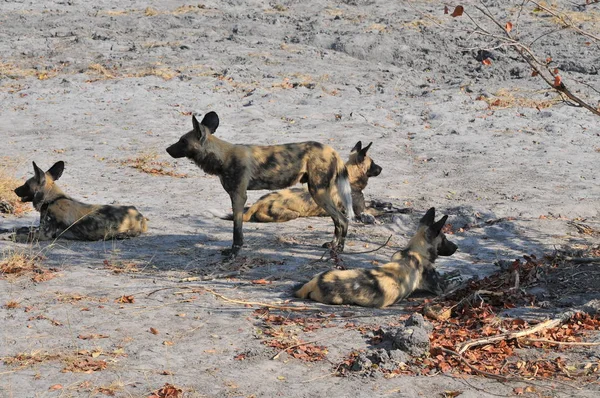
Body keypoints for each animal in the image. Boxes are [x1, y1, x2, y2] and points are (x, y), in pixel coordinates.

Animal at [9, 160, 148, 241]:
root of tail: (140, 215)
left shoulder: (45, 234)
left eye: (26, 185)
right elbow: (23, 228)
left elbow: (24, 235)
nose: (14, 190)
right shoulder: (39, 228)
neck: (52, 200)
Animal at [166, 110, 354, 258]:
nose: (167, 149)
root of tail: (331, 150)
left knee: (343, 220)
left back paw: (339, 249)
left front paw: (233, 253)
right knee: (338, 221)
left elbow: (237, 230)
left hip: (318, 192)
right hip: (322, 193)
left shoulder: (238, 196)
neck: (221, 156)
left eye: (182, 141)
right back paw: (332, 245)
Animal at [221, 141, 384, 222]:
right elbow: (381, 212)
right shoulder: (361, 210)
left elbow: (380, 205)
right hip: (292, 214)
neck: (351, 178)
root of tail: (259, 202)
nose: (382, 168)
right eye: (373, 163)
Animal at [292, 207, 458, 310]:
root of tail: (317, 282)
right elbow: (453, 280)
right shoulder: (440, 288)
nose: (456, 247)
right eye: (445, 239)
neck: (413, 251)